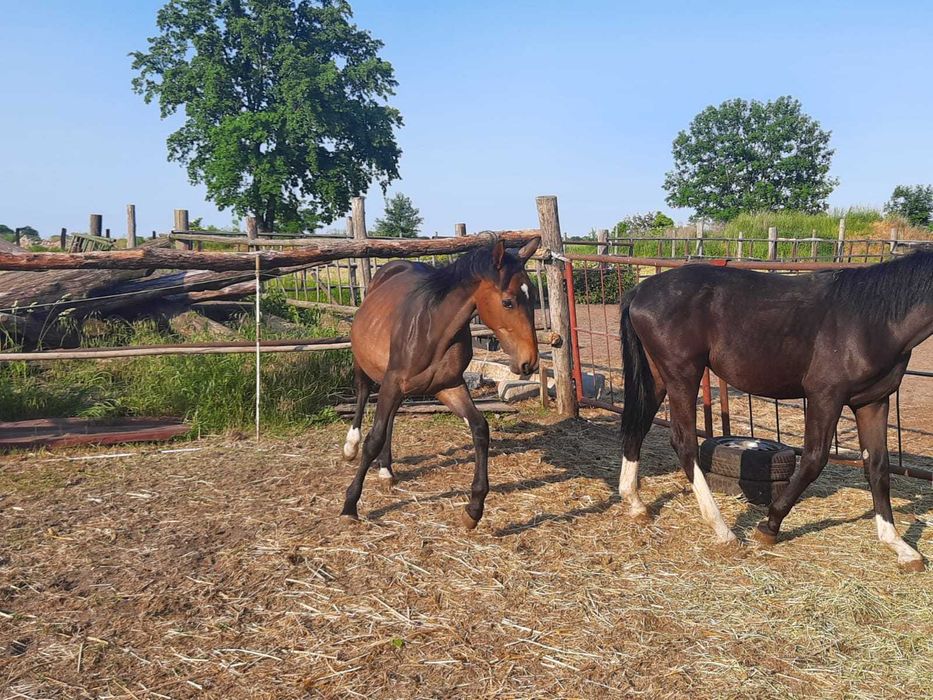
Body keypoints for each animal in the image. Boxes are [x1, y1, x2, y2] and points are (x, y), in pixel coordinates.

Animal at [338, 238, 540, 528]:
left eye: (532, 296)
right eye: (508, 302)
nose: (529, 362)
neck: (432, 328)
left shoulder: (448, 386)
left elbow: (480, 428)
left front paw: (474, 509)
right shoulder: (392, 382)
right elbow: (373, 438)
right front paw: (350, 505)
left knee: (391, 418)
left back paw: (387, 469)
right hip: (365, 365)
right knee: (364, 394)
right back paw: (350, 447)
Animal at [620, 250, 932, 568]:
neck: (872, 321)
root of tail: (639, 291)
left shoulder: (872, 402)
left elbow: (878, 468)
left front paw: (899, 545)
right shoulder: (825, 397)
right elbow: (813, 460)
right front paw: (769, 526)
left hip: (659, 376)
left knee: (638, 425)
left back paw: (635, 503)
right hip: (683, 374)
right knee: (684, 443)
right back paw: (724, 531)